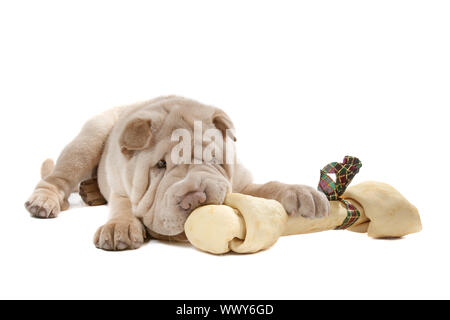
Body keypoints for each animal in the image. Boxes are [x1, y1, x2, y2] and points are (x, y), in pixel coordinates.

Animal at [24, 96, 328, 251]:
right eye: (160, 166)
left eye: (213, 158)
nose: (194, 198)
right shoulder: (122, 188)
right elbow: (123, 206)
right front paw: (119, 228)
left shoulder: (240, 181)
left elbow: (267, 187)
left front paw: (301, 193)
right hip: (89, 138)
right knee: (57, 178)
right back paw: (45, 201)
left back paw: (89, 192)